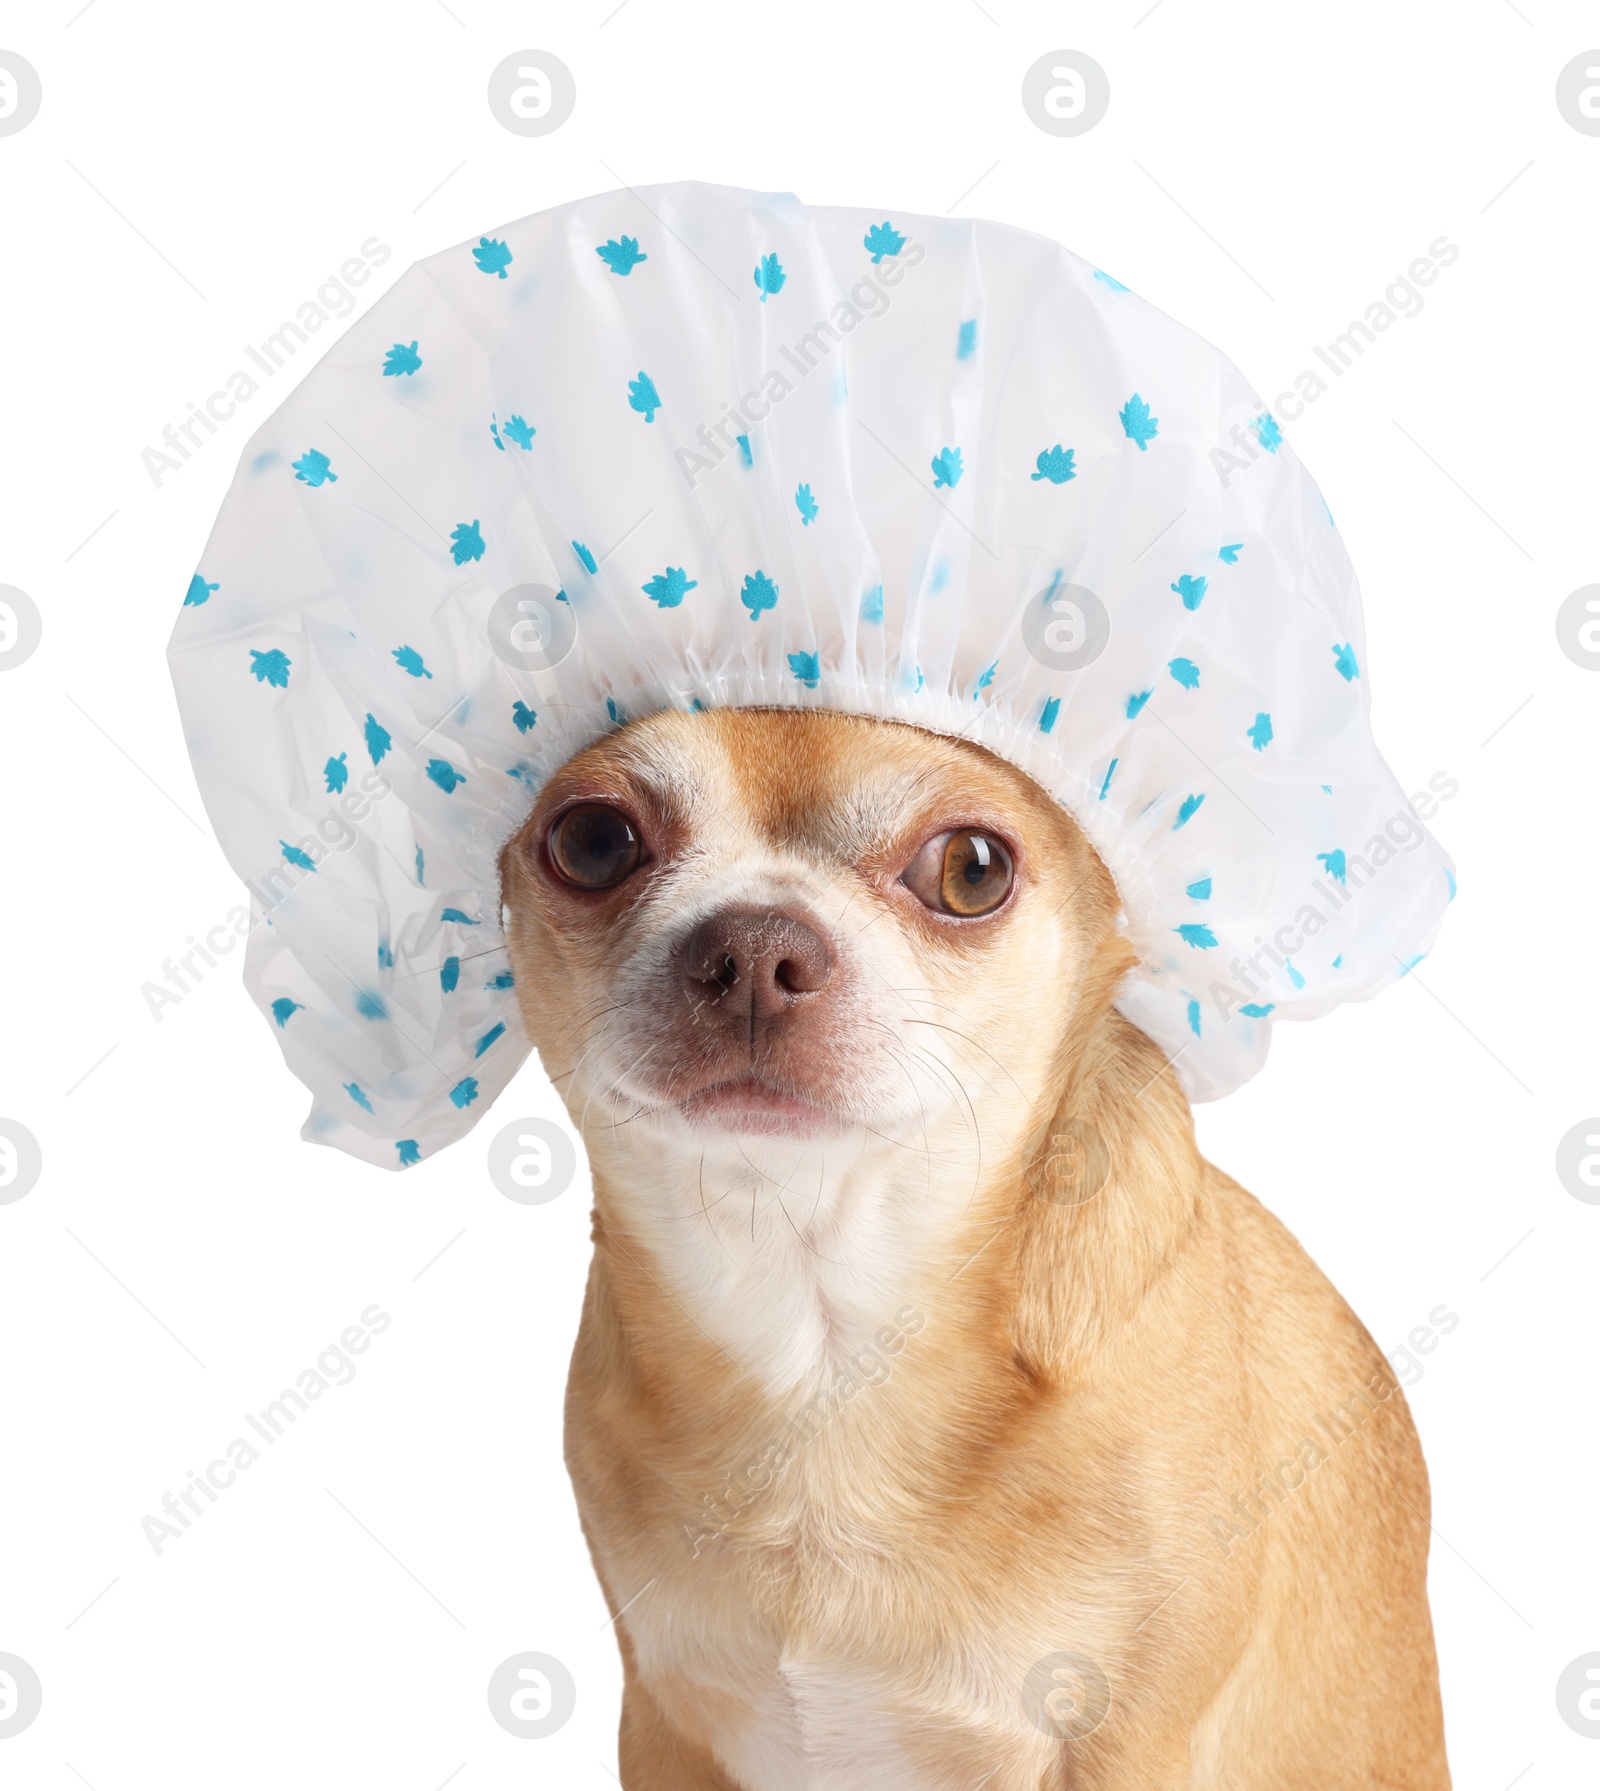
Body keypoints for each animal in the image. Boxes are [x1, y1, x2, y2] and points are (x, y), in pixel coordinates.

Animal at [501, 705, 1447, 1783]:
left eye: (971, 870)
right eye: (593, 842)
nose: (752, 945)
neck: (826, 1336)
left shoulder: (1126, 1744)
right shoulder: (665, 1725)